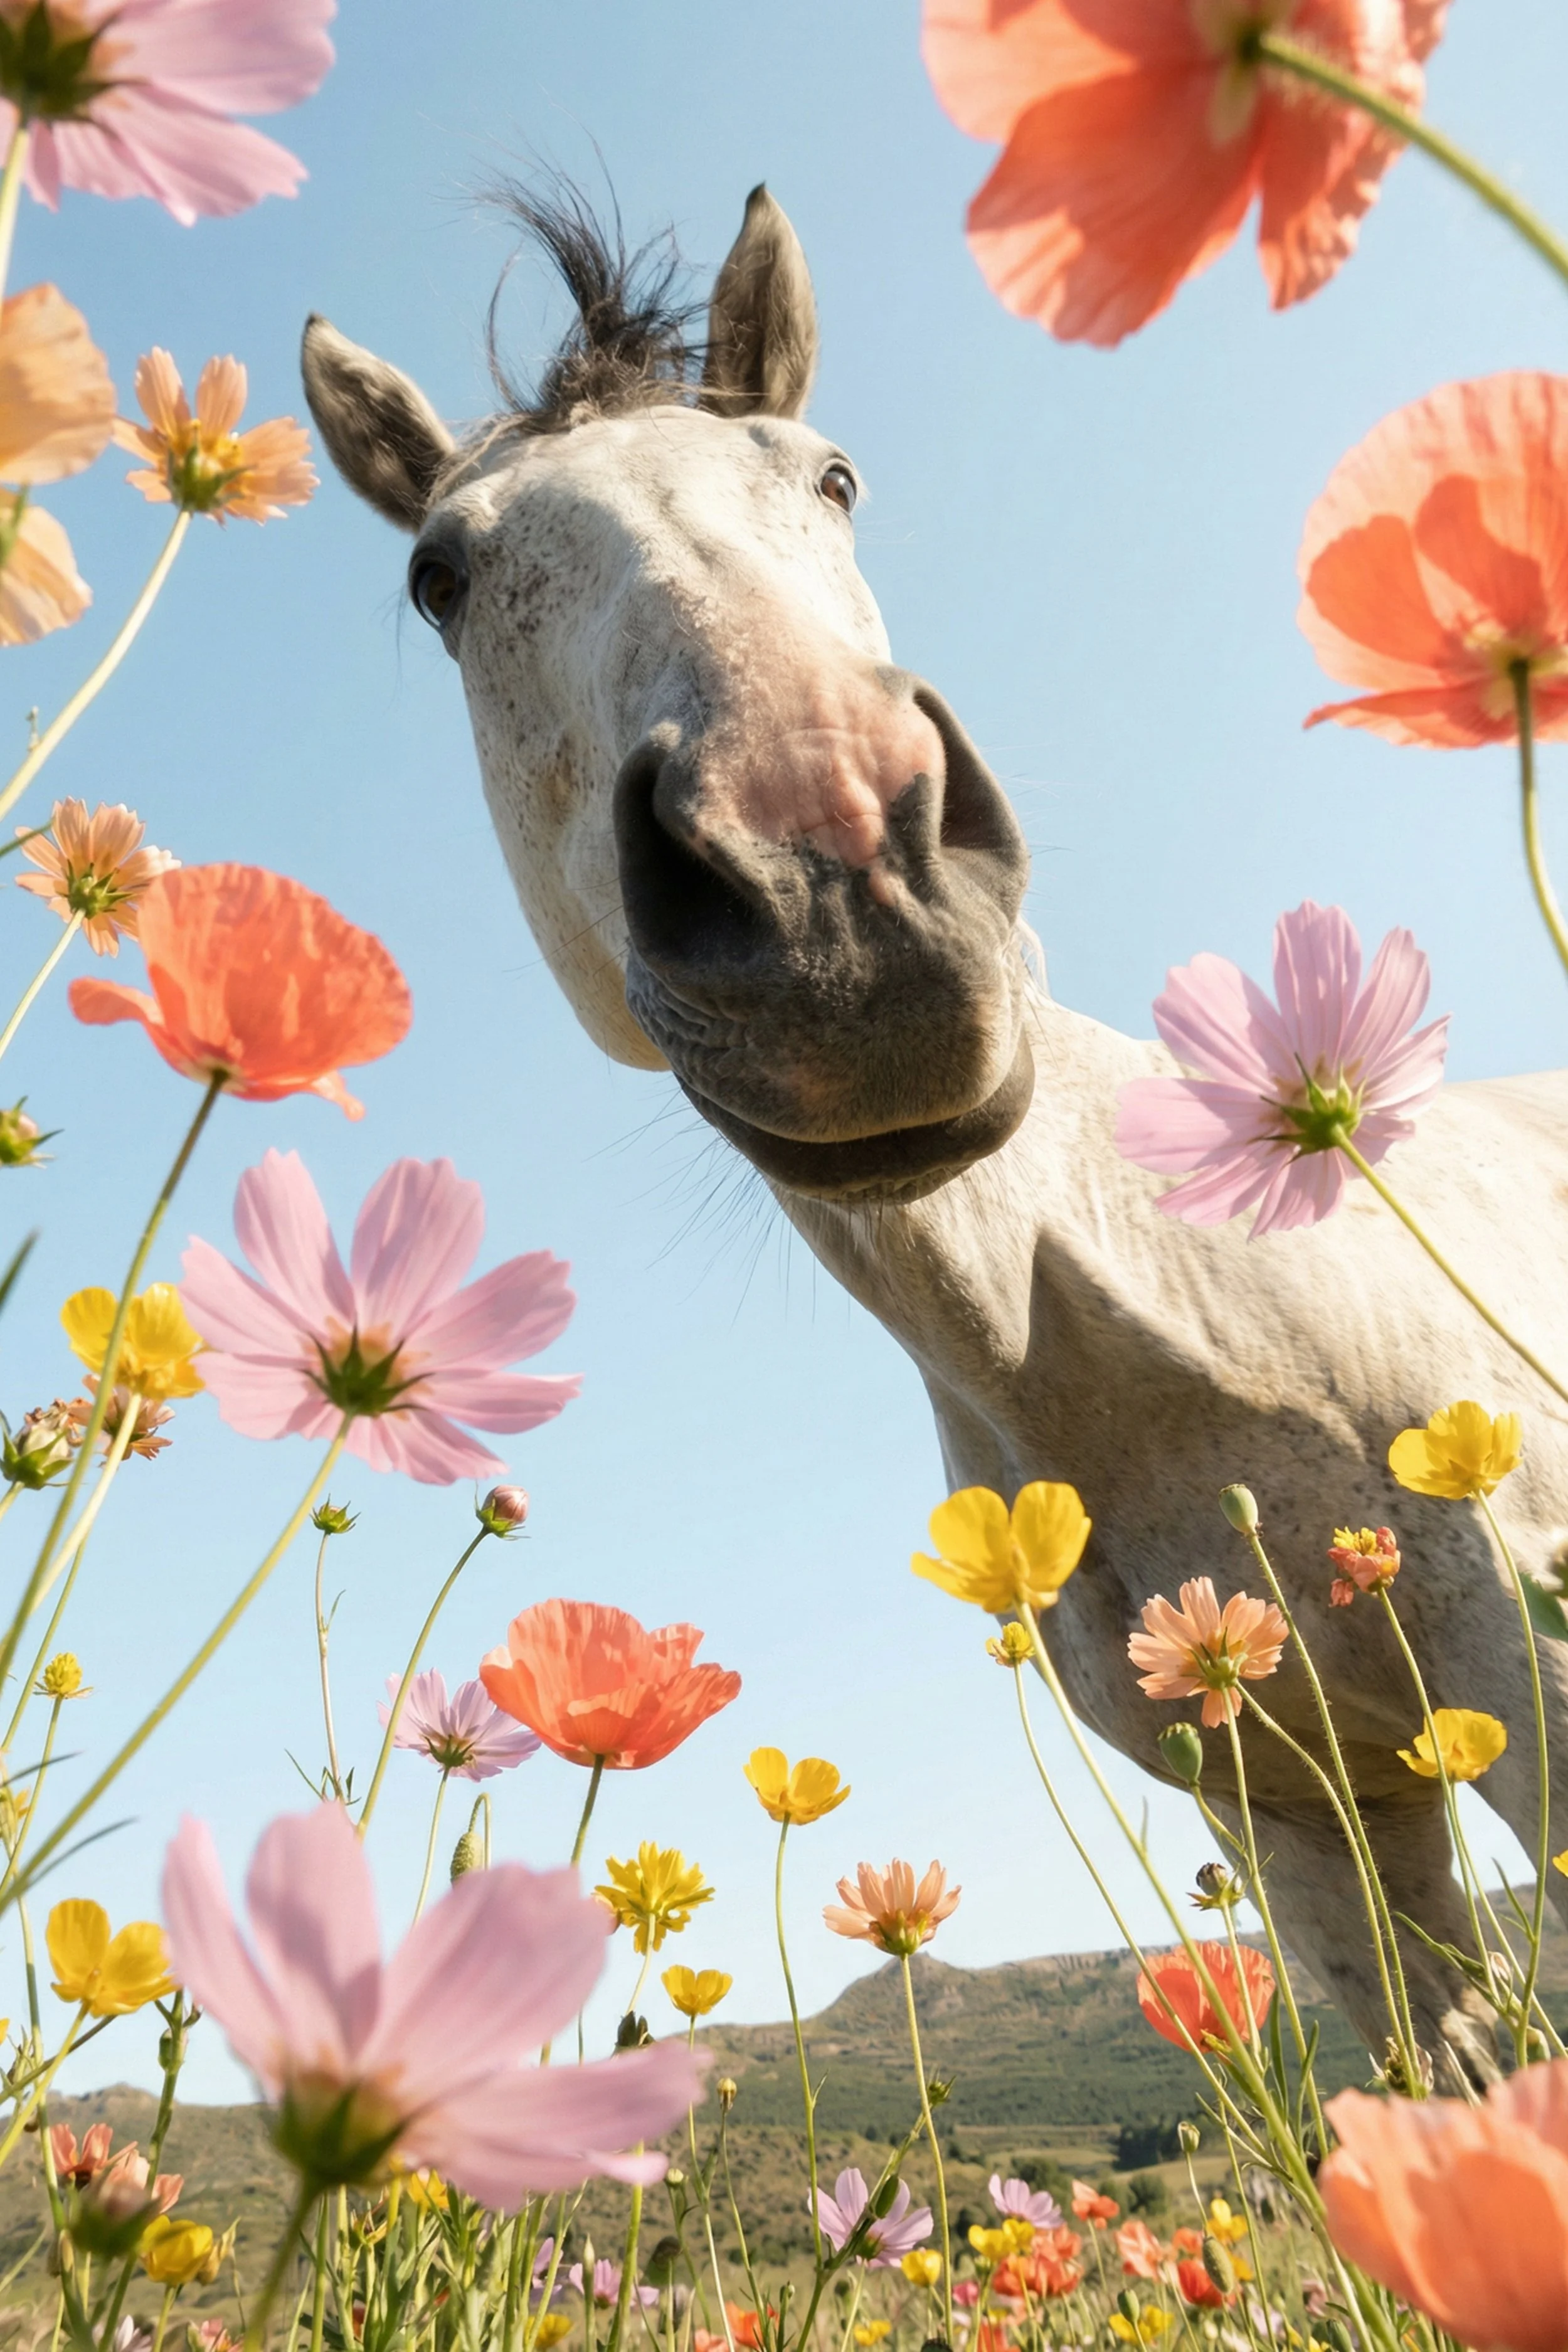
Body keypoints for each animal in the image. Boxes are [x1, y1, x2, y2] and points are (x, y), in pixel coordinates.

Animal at [301, 184, 1568, 2080]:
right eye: (439, 574)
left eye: (831, 477)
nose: (829, 872)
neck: (1139, 1321)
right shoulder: (1298, 1808)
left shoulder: (1520, 1649)